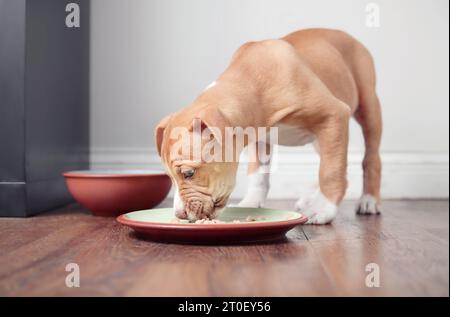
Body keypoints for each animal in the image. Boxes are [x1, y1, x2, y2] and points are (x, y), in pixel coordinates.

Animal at [156, 28, 382, 223]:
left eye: (189, 173)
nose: (180, 215)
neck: (249, 79)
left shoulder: (334, 114)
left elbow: (330, 172)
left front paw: (323, 209)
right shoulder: (258, 137)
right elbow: (258, 175)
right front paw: (251, 202)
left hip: (366, 106)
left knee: (368, 157)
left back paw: (368, 200)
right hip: (324, 137)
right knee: (334, 159)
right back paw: (311, 198)